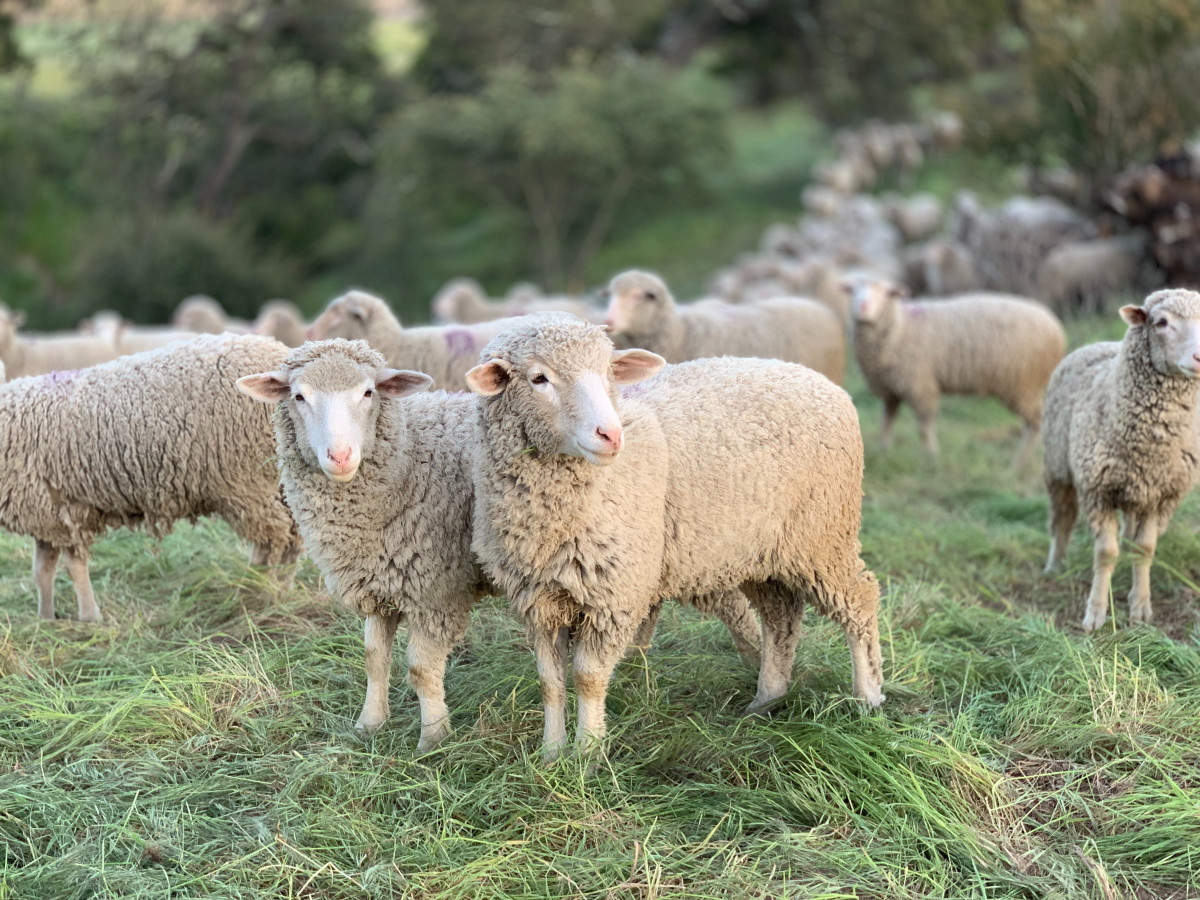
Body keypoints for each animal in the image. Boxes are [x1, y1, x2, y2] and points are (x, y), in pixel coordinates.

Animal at [0, 336, 302, 624]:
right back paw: (280, 588)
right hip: (277, 481)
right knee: (293, 535)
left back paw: (255, 590)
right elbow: (42, 570)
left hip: (247, 482)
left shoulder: (65, 511)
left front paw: (89, 617)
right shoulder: (45, 513)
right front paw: (45, 618)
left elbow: (73, 567)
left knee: (271, 539)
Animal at [468, 314, 883, 758]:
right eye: (539, 378)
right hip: (762, 550)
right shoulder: (538, 599)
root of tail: (823, 382)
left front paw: (588, 754)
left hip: (823, 536)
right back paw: (767, 699)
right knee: (781, 617)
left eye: (608, 372)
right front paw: (550, 753)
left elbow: (587, 678)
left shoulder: (615, 595)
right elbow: (550, 682)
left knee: (859, 600)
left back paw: (867, 697)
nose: (611, 435)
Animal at [849, 278, 1065, 468]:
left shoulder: (920, 385)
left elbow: (924, 428)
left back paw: (1018, 465)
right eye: (853, 291)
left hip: (1021, 384)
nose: (863, 307)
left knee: (1036, 423)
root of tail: (1056, 328)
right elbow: (886, 423)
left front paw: (932, 458)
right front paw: (883, 453)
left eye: (885, 293)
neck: (900, 327)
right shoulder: (891, 390)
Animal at [1041, 292, 1200, 628]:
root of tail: (1098, 343)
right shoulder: (1096, 491)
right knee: (1062, 518)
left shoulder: (1159, 494)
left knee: (1128, 530)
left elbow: (1144, 549)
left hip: (1135, 490)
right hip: (1057, 467)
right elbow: (1106, 553)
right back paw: (1055, 565)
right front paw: (1096, 613)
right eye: (1161, 322)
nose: (1199, 358)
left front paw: (1140, 606)